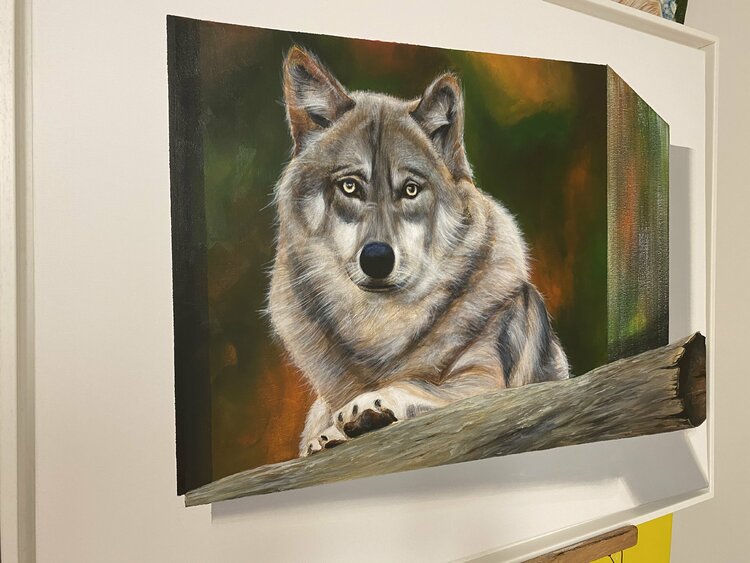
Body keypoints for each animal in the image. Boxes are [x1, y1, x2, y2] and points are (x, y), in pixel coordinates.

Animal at [268, 47, 569, 457]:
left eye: (410, 190)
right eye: (350, 186)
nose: (377, 258)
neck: (381, 330)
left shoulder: (485, 382)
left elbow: (416, 385)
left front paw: (367, 407)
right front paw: (328, 434)